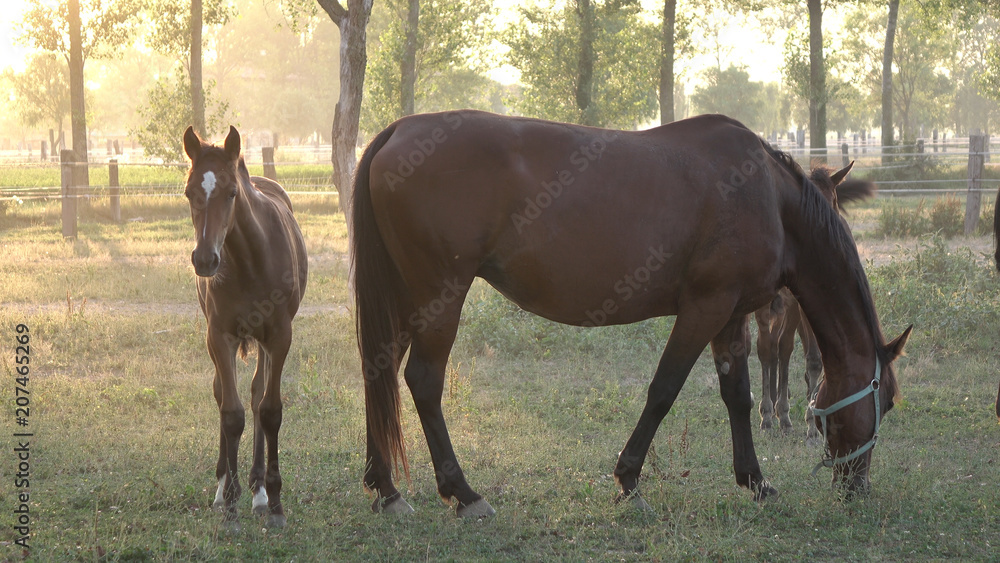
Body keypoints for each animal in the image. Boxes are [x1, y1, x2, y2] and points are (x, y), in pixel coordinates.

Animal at [180, 125, 304, 532]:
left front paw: (275, 500)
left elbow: (269, 409)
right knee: (224, 394)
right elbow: (231, 413)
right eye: (189, 192)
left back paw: (259, 491)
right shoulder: (220, 336)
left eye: (232, 192)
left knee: (256, 394)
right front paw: (231, 504)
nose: (205, 260)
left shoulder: (279, 337)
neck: (250, 260)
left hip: (265, 343)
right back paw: (224, 489)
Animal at [756, 167, 876, 446]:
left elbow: (805, 356)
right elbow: (769, 350)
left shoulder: (799, 305)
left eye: (834, 201)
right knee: (769, 348)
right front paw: (770, 415)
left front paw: (806, 420)